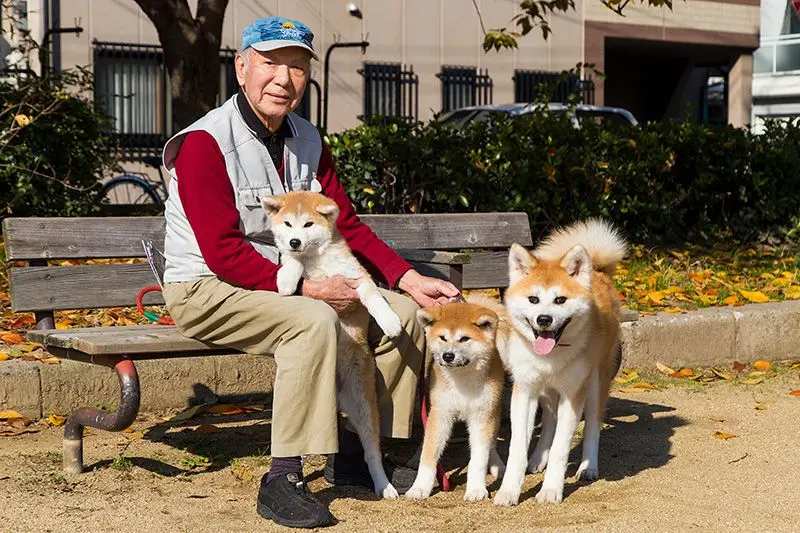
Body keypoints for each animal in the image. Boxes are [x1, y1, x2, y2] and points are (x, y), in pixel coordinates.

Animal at [262, 191, 404, 498]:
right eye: (288, 224)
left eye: (308, 224)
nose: (294, 241)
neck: (316, 260)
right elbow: (292, 263)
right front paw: (287, 279)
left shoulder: (357, 278)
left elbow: (373, 297)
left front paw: (389, 321)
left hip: (364, 408)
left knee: (372, 454)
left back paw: (383, 485)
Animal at [406, 294, 506, 500]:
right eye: (443, 337)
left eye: (464, 338)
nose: (448, 355)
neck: (462, 379)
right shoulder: (441, 413)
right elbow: (429, 453)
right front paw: (420, 487)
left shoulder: (482, 416)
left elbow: (479, 458)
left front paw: (476, 489)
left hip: (495, 411)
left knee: (491, 443)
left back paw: (497, 465)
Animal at [494, 218, 624, 504]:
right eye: (533, 299)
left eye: (560, 300)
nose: (544, 319)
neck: (551, 357)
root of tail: (598, 271)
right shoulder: (525, 392)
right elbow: (517, 448)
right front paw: (509, 490)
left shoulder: (573, 395)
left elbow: (560, 449)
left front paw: (551, 489)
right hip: (546, 393)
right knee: (549, 424)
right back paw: (537, 459)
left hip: (595, 384)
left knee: (592, 427)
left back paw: (588, 467)